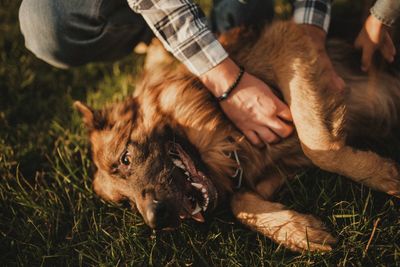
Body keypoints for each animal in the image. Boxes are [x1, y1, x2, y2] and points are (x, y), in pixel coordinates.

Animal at [74, 21, 400, 253]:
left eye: (125, 159)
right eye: (125, 203)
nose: (157, 221)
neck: (224, 130)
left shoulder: (288, 40)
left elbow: (318, 145)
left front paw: (384, 176)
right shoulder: (273, 165)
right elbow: (239, 203)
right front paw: (297, 231)